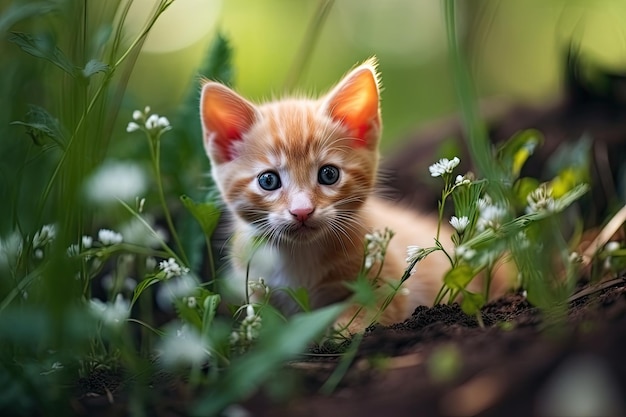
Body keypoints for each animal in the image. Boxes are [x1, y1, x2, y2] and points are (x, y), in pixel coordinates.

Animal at [200, 58, 458, 332]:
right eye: (268, 180)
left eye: (328, 174)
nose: (302, 211)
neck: (299, 257)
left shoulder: (390, 283)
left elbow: (369, 312)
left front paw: (341, 329)